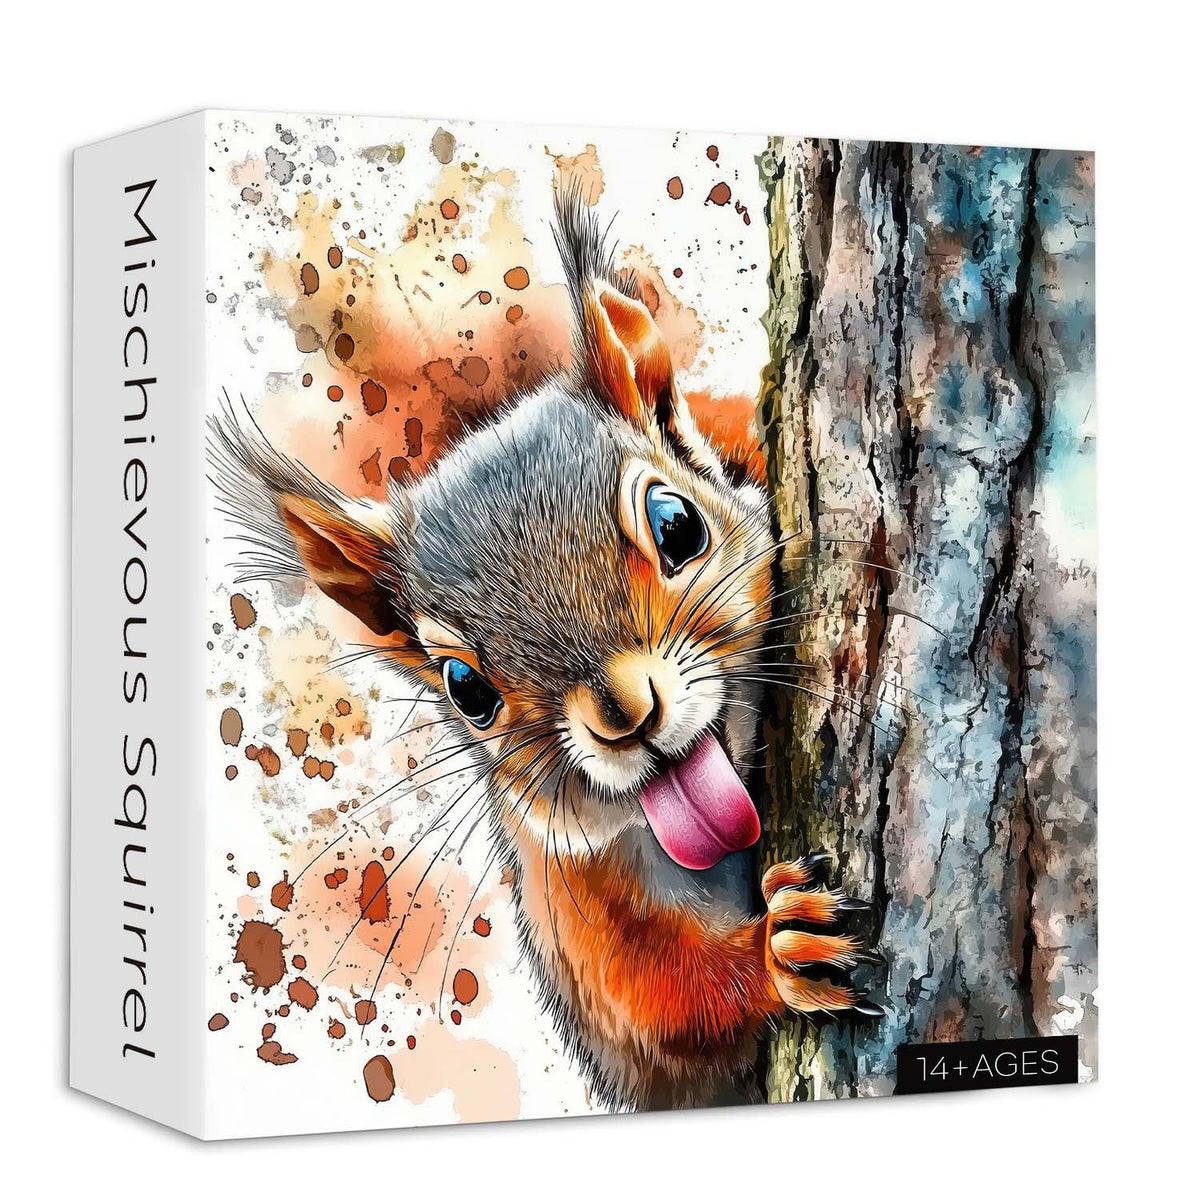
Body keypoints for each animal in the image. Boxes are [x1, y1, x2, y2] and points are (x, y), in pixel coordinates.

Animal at [210, 190, 881, 1111]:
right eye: (464, 687)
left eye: (678, 525)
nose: (627, 714)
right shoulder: (572, 901)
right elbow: (656, 1009)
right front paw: (781, 950)